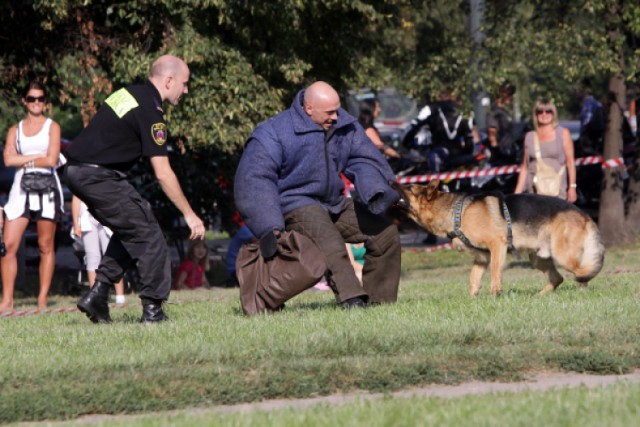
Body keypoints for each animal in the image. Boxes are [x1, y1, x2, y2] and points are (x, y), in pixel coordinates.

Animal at [396, 181, 604, 298]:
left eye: (409, 188)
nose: (391, 180)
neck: (457, 212)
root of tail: (585, 215)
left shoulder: (497, 246)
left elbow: (495, 271)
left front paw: (494, 294)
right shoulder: (481, 258)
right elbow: (473, 278)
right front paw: (472, 299)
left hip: (563, 255)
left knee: (583, 272)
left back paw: (581, 292)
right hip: (538, 258)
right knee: (557, 278)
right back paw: (538, 296)